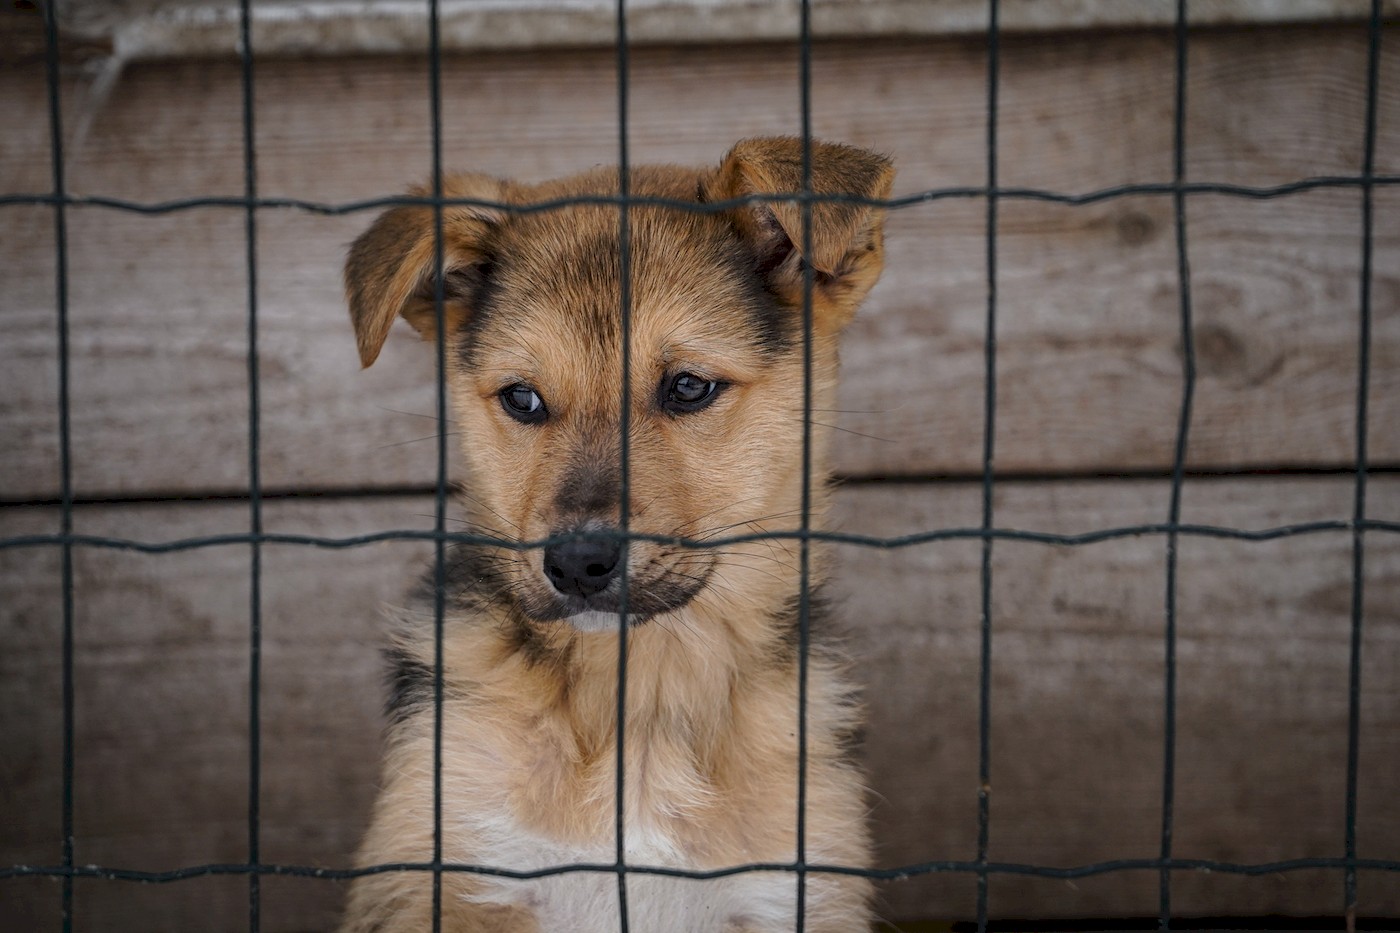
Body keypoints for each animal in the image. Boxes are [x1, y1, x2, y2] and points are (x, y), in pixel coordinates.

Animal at [341, 134, 896, 924]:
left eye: (689, 386)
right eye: (522, 398)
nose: (577, 563)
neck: (643, 700)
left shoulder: (791, 887)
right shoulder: (441, 867)